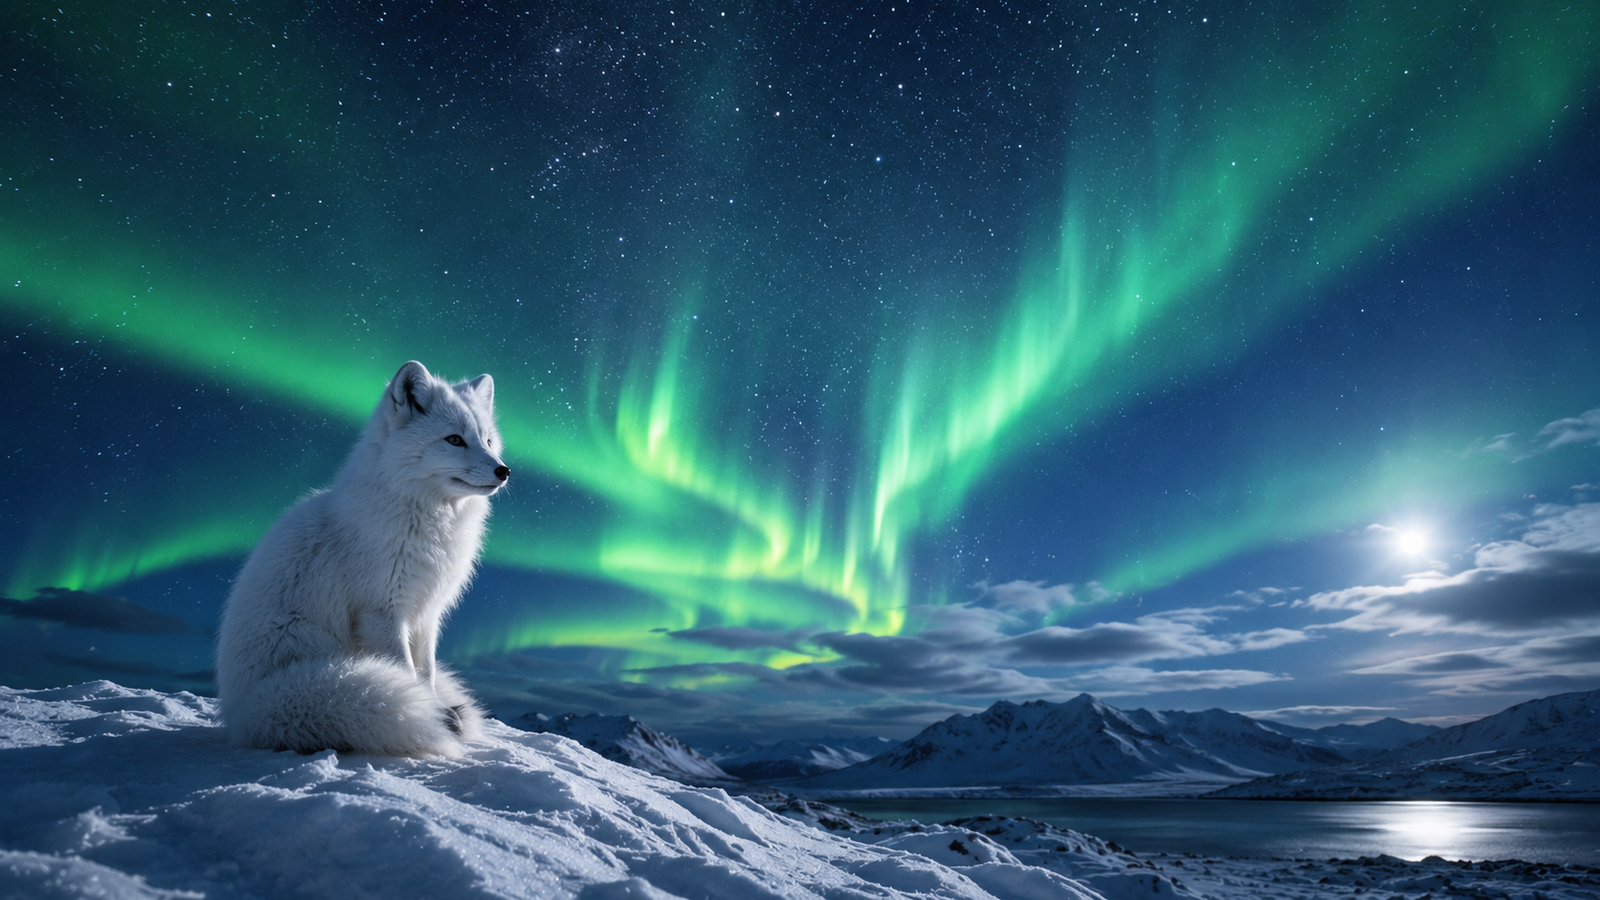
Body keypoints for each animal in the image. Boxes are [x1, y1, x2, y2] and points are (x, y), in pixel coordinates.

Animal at [215, 360, 509, 756]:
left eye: (488, 441)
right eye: (454, 440)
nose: (503, 470)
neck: (426, 522)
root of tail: (239, 715)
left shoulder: (426, 614)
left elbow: (427, 673)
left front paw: (437, 711)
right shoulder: (381, 611)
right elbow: (405, 672)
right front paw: (430, 718)